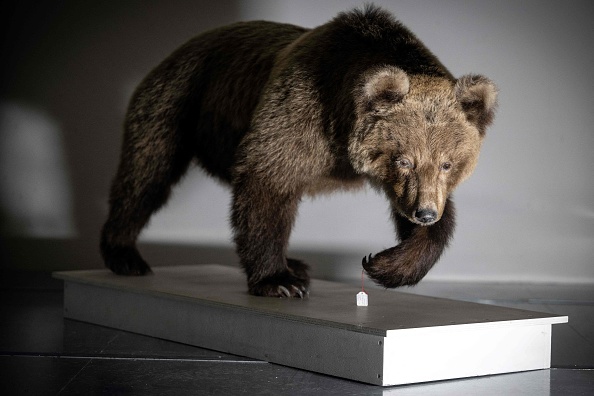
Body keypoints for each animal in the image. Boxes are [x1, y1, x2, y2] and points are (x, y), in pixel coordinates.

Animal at [100, 5, 494, 296]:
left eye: (447, 163)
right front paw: (278, 281)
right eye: (404, 159)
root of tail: (179, 48)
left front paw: (387, 263)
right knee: (146, 174)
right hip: (178, 99)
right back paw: (125, 255)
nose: (424, 213)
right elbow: (268, 179)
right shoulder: (299, 113)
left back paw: (299, 264)